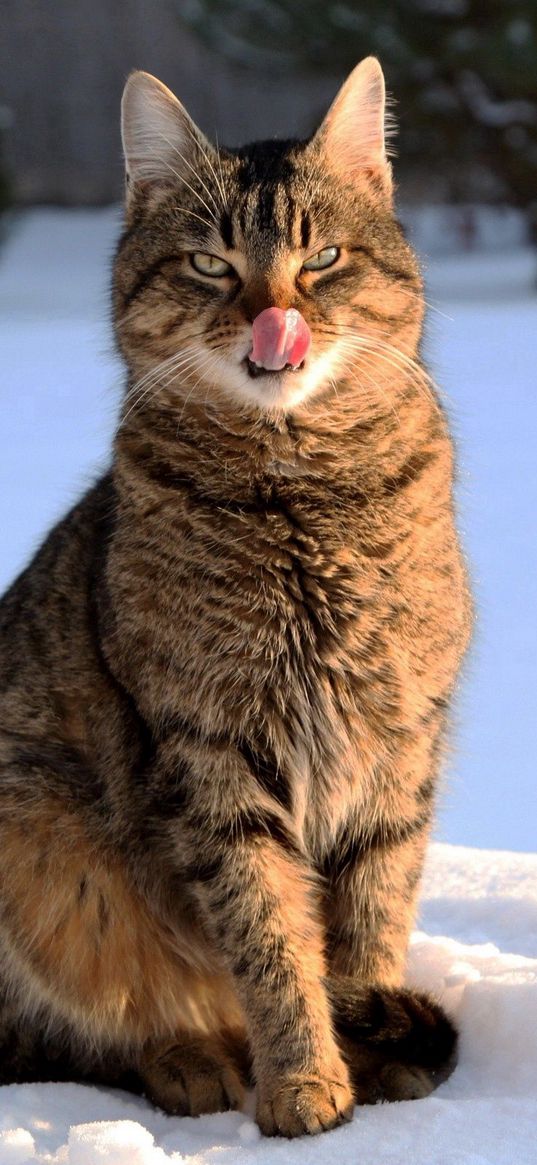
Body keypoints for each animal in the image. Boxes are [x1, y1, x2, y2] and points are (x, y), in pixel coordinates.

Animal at [0, 56, 468, 1137]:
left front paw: (369, 1052)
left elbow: (371, 916)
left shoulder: (399, 745)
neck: (303, 497)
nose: (273, 320)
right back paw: (189, 1058)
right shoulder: (208, 750)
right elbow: (267, 931)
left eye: (323, 257)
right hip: (36, 827)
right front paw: (304, 1080)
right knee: (65, 1032)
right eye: (211, 265)